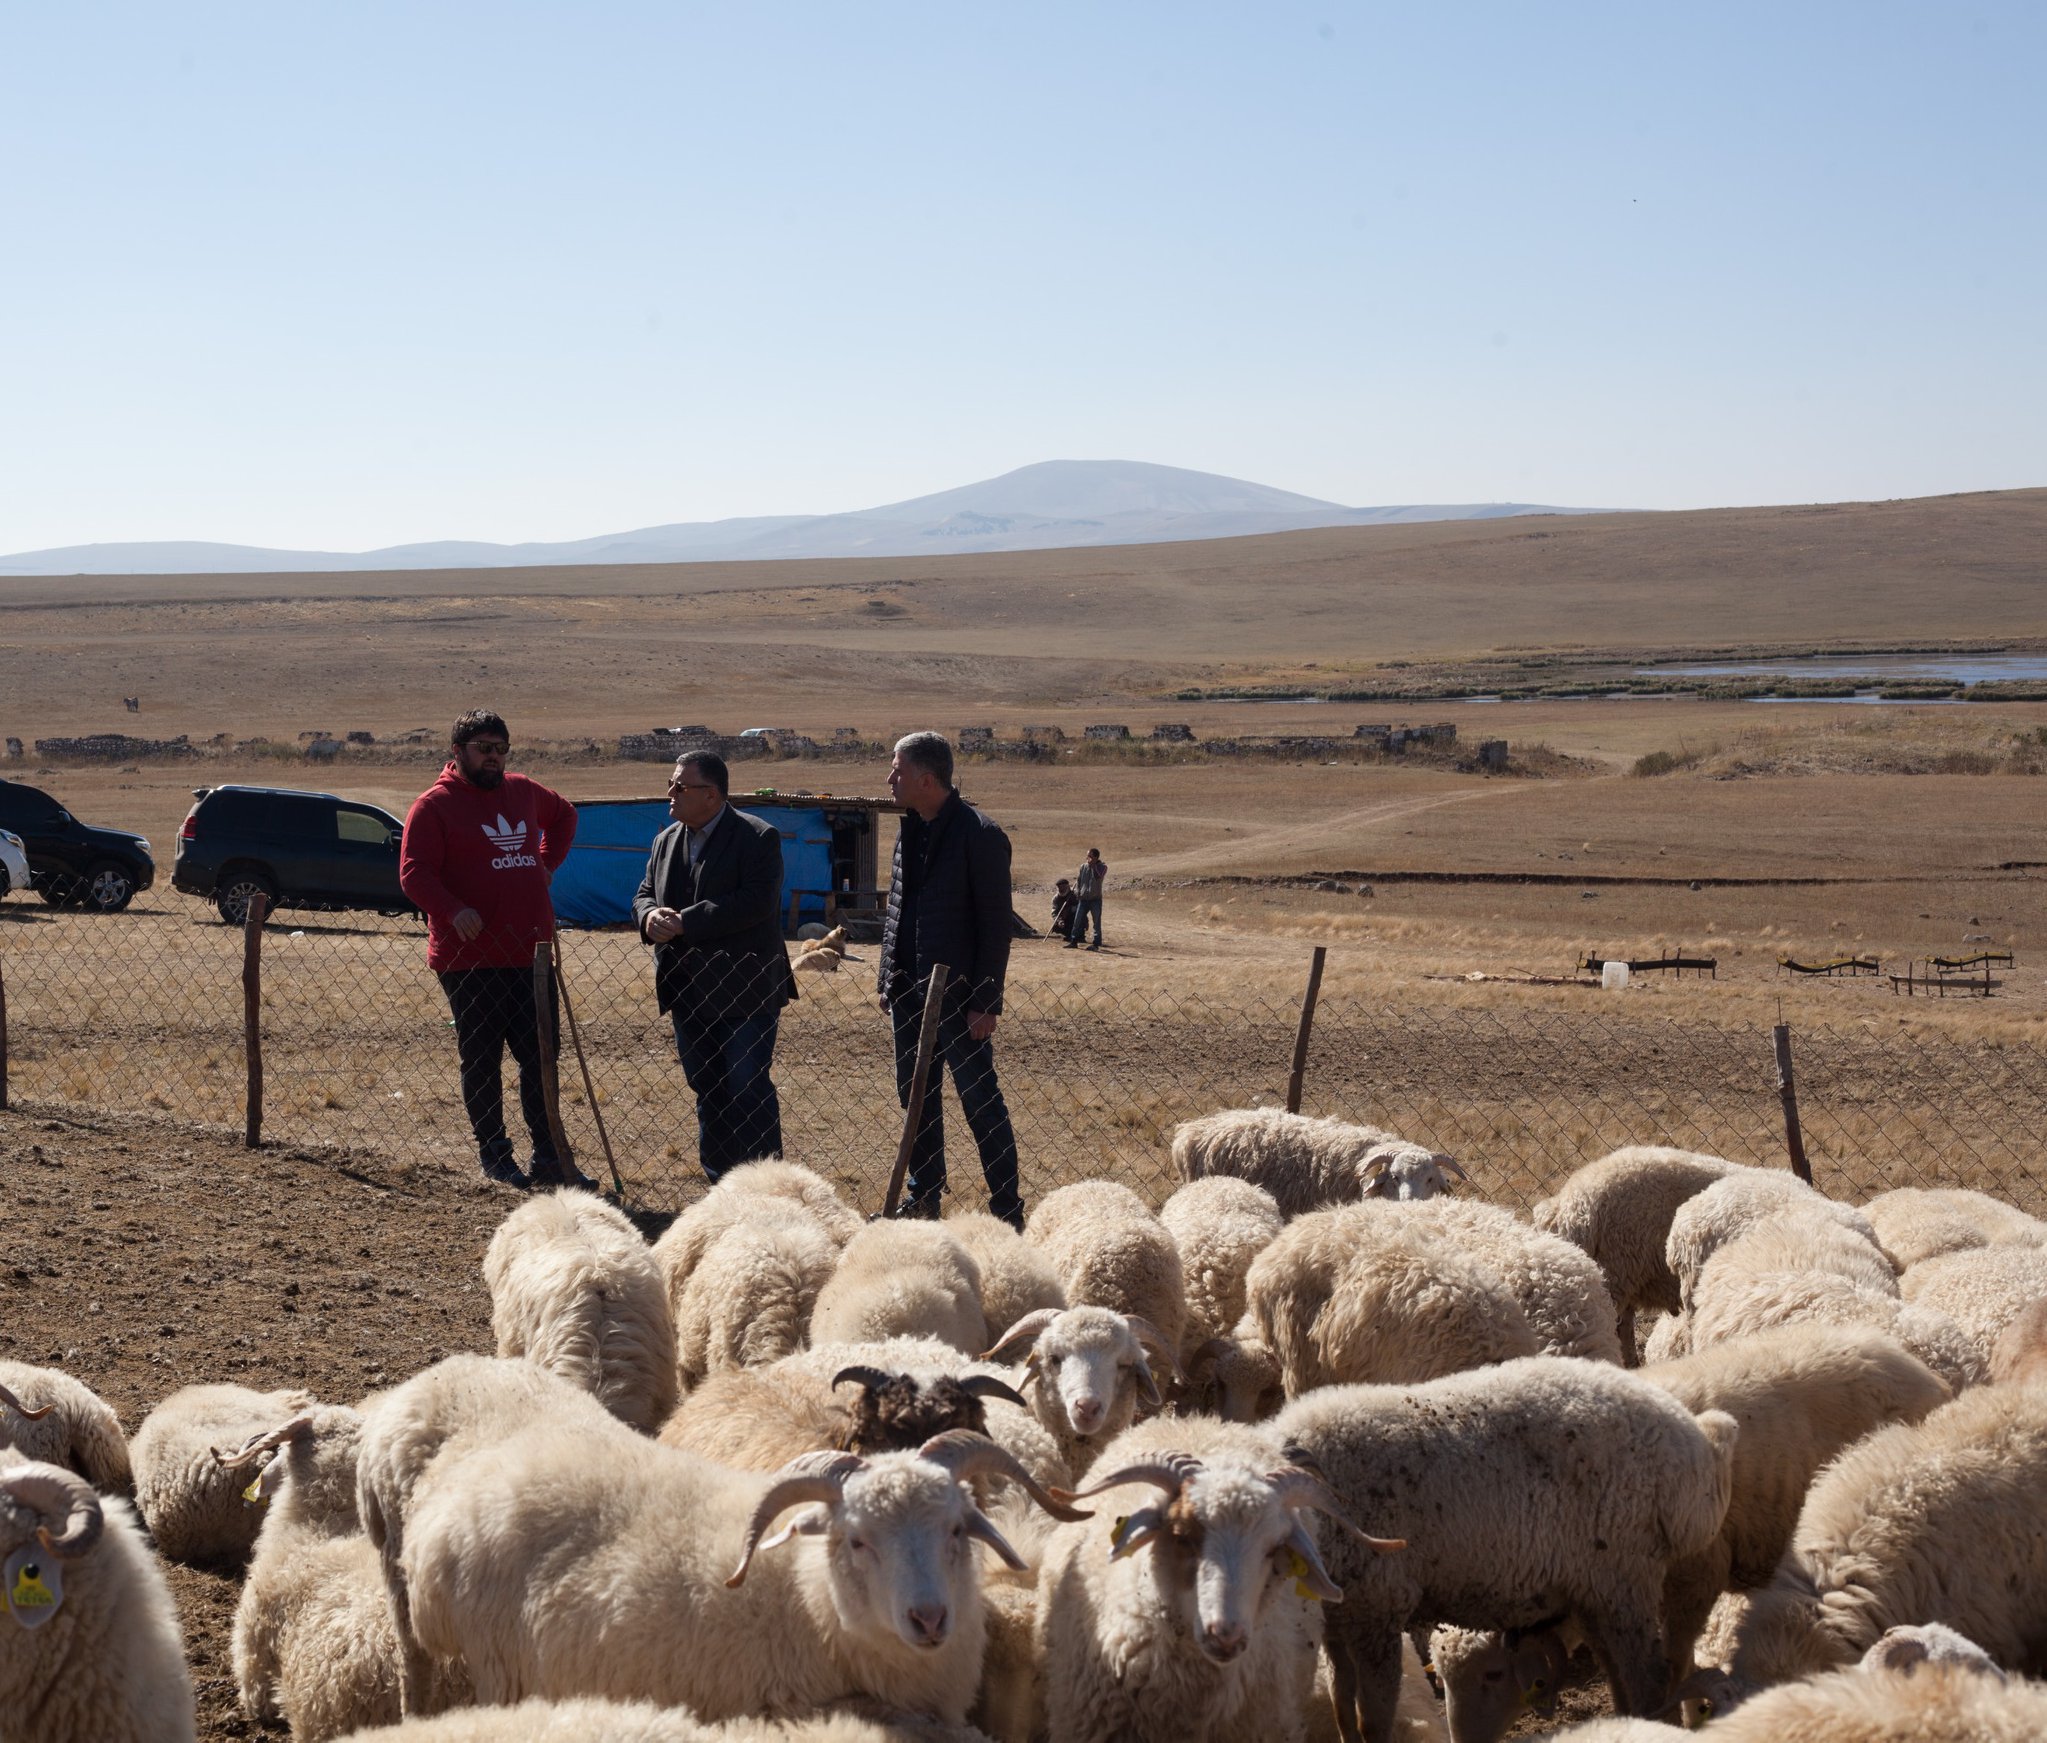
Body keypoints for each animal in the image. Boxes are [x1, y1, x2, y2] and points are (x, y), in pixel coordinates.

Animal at [1276, 1356, 1739, 1741]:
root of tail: (1697, 1443)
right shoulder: (1340, 1626)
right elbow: (1342, 1709)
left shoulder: (1379, 1613)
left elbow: (1372, 1721)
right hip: (1596, 1588)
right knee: (1619, 1670)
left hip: (1625, 1574)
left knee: (1649, 1677)